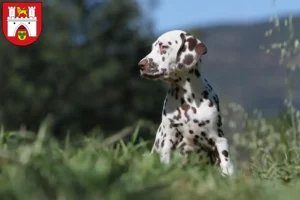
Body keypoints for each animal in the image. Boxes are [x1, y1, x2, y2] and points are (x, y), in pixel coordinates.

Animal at [138, 29, 234, 175]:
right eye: (152, 48)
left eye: (164, 46)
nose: (140, 65)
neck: (188, 101)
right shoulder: (167, 139)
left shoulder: (219, 139)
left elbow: (226, 165)